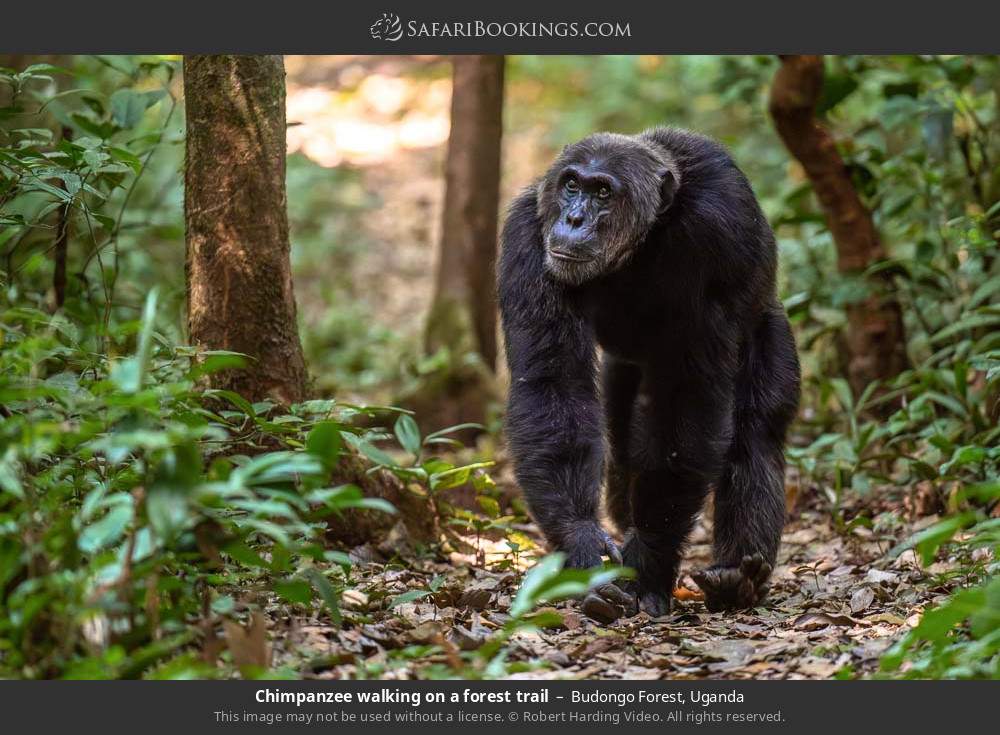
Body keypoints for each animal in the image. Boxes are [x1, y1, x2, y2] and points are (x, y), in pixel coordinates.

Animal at [500, 126, 804, 616]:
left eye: (603, 192)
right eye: (572, 185)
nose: (574, 218)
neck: (640, 244)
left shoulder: (718, 235)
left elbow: (691, 398)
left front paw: (647, 562)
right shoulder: (526, 236)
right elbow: (554, 384)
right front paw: (583, 545)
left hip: (768, 323)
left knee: (755, 432)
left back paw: (738, 579)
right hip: (624, 370)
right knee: (624, 443)